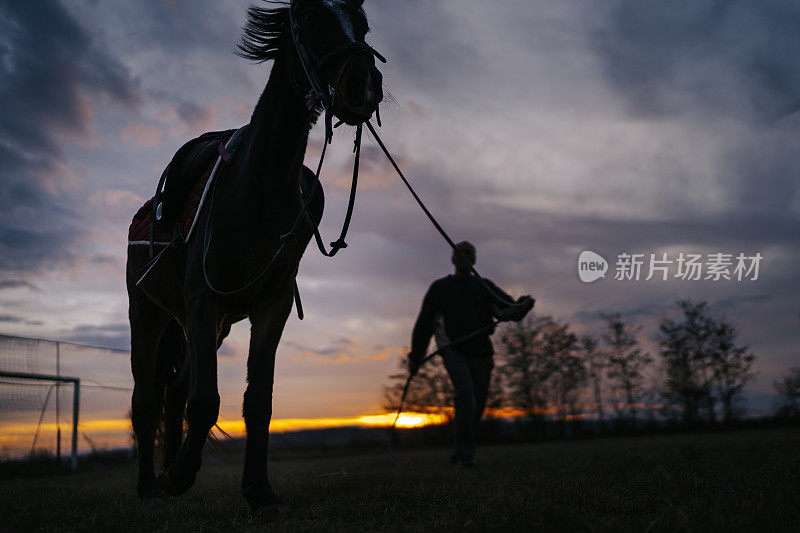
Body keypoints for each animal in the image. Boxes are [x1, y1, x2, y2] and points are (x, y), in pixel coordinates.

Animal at [126, 0, 384, 512]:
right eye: (310, 17)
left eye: (363, 25)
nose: (363, 82)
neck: (258, 188)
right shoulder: (203, 301)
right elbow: (205, 402)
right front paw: (180, 477)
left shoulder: (271, 307)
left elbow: (257, 401)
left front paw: (258, 490)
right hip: (148, 314)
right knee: (146, 404)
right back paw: (151, 486)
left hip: (211, 328)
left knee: (174, 395)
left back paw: (168, 472)